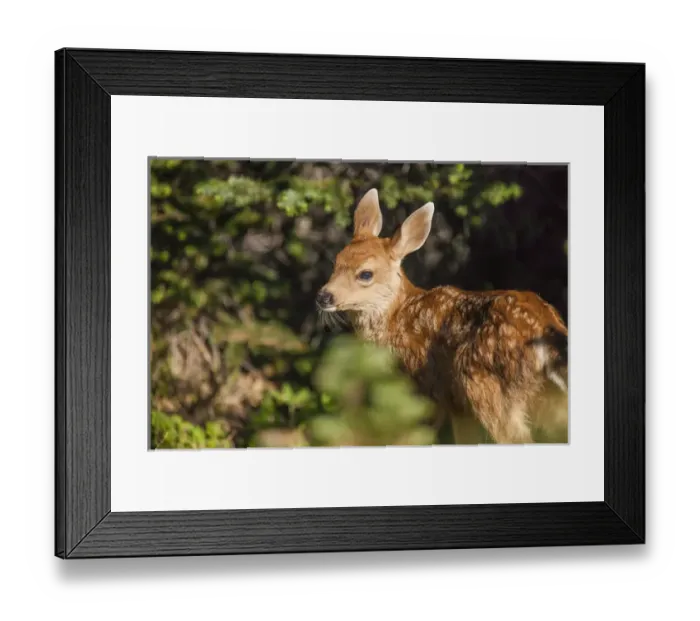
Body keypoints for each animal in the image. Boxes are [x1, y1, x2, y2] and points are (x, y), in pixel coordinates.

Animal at [316, 188, 569, 445]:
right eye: (336, 262)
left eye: (365, 274)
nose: (324, 296)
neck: (397, 318)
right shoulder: (458, 408)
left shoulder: (424, 392)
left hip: (486, 386)